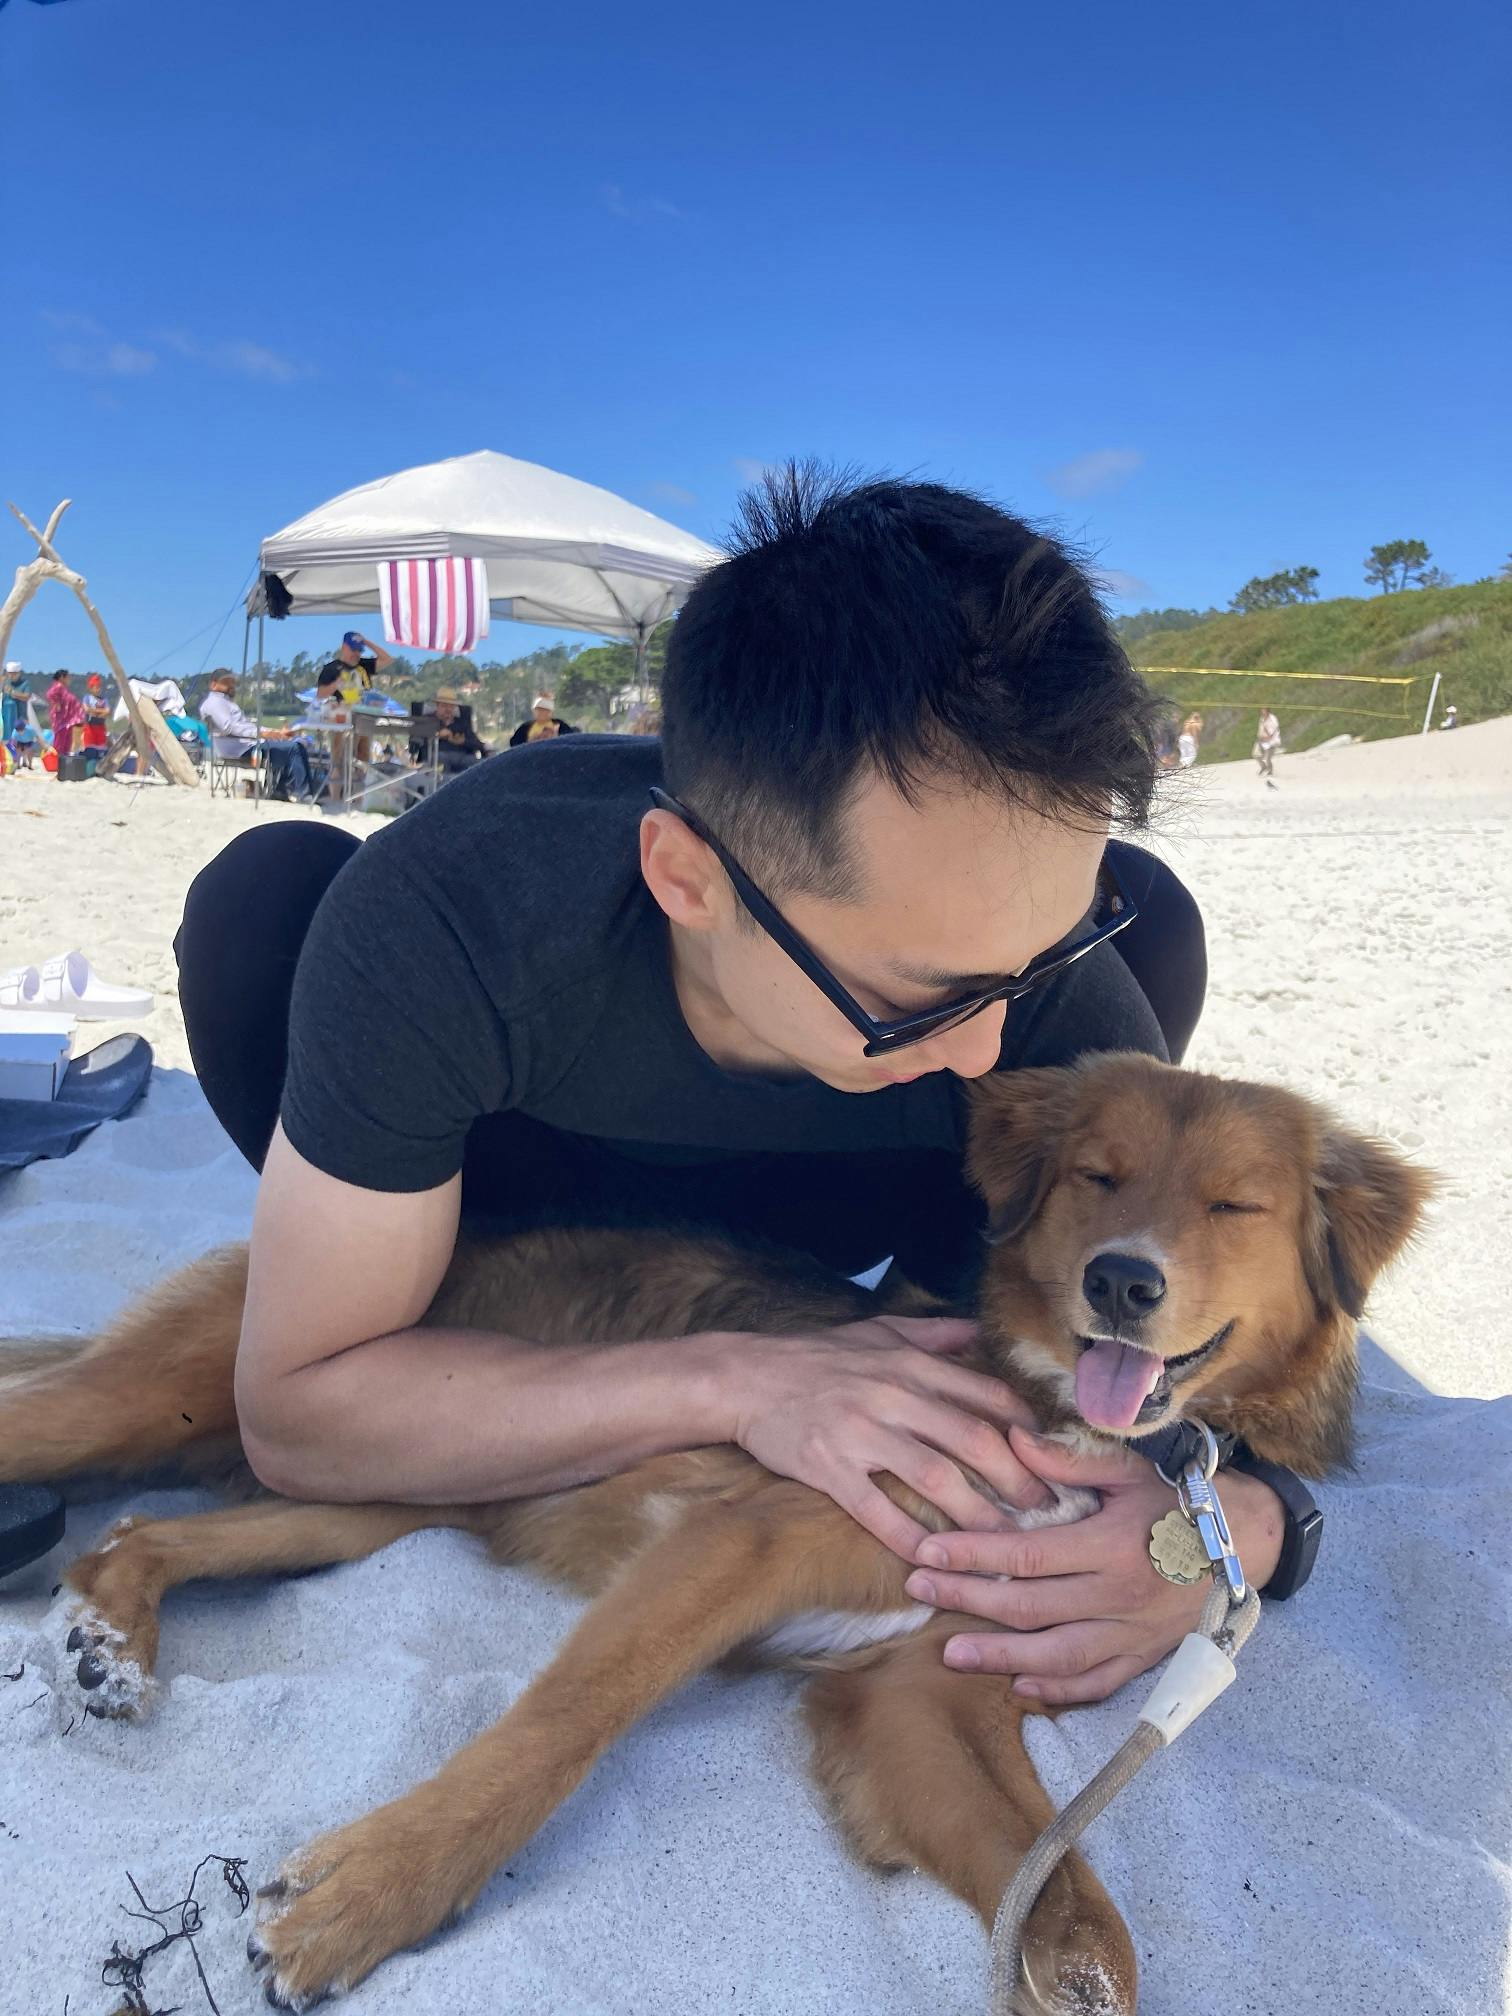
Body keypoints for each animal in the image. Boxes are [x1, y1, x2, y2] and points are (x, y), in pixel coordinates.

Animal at [0, 1056, 1435, 2016]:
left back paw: (109, 1635)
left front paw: (1067, 1973)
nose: (1124, 1281)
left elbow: (1070, 1891)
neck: (1070, 1430)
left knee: (146, 1526)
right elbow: (558, 1728)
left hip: (374, 1493)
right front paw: (366, 1898)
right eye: (1100, 1177)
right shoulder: (733, 1547)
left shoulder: (928, 1685)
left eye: (1236, 1207)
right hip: (176, 1400)